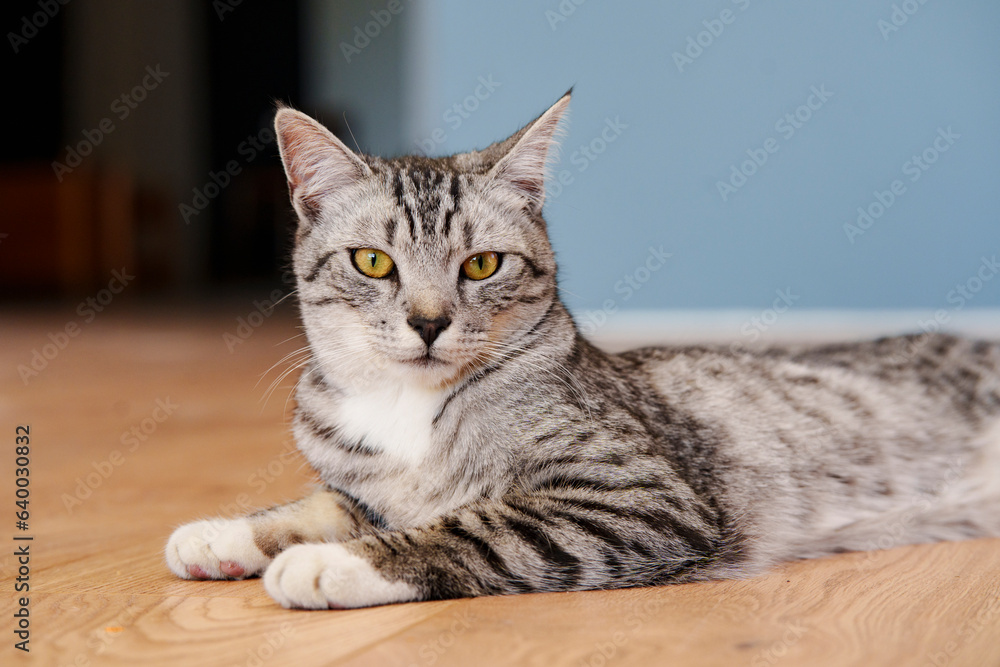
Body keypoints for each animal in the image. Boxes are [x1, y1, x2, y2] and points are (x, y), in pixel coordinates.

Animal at [164, 92, 1000, 612]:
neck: (409, 409)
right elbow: (318, 504)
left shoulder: (640, 496)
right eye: (373, 262)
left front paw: (335, 562)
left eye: (481, 265)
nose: (429, 323)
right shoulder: (358, 483)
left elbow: (474, 522)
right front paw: (224, 533)